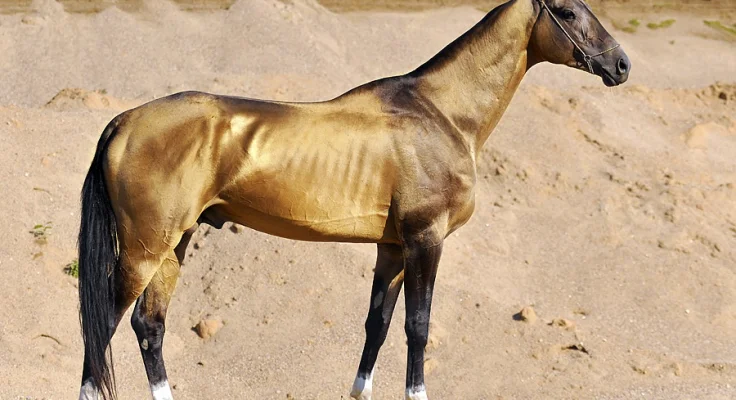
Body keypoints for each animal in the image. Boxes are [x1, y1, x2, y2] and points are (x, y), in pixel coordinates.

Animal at [77, 0, 630, 399]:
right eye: (569, 10)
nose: (620, 64)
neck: (442, 113)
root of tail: (124, 121)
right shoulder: (425, 240)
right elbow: (417, 326)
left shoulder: (393, 247)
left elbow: (377, 325)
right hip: (144, 249)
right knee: (103, 323)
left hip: (175, 244)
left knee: (149, 325)